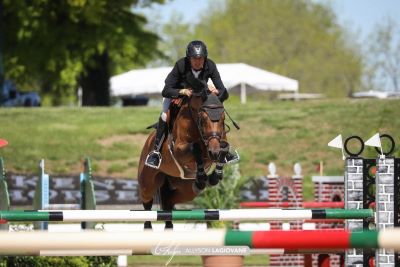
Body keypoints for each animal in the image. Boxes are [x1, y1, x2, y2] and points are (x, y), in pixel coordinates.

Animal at [138, 83, 230, 230]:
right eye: (203, 119)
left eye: (223, 118)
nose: (214, 153)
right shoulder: (179, 150)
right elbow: (196, 148)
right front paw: (202, 177)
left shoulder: (219, 143)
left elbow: (225, 148)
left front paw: (214, 177)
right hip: (148, 182)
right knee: (147, 202)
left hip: (186, 189)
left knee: (169, 200)